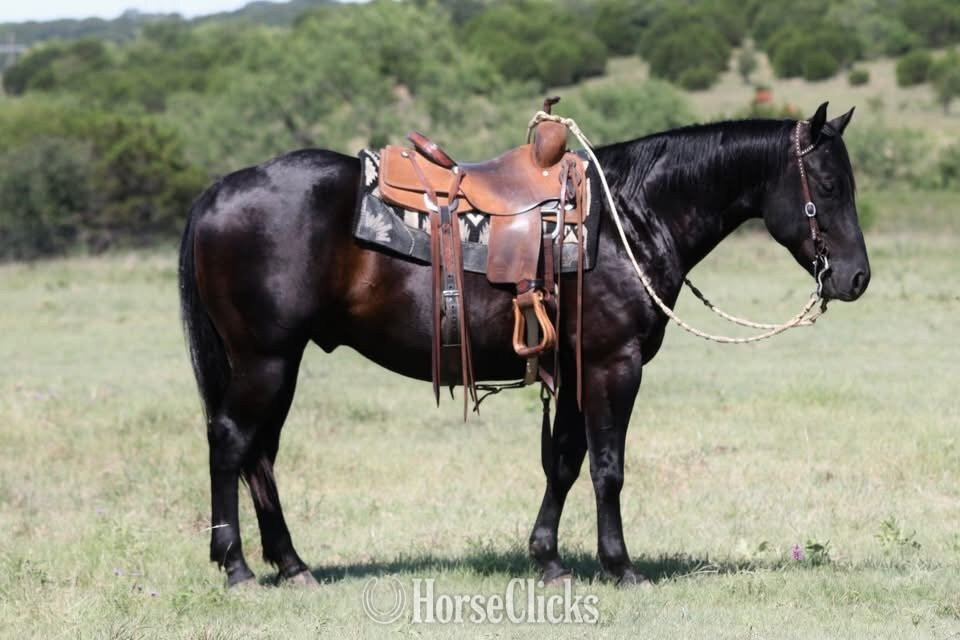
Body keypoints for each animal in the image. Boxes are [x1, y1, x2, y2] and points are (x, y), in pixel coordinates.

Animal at [178, 102, 870, 587]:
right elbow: (608, 466)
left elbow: (563, 461)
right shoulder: (613, 365)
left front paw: (548, 559)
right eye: (830, 186)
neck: (630, 215)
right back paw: (237, 566)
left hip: (278, 362)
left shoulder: (574, 368)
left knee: (260, 454)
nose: (857, 277)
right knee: (232, 442)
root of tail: (221, 188)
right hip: (266, 360)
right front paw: (620, 565)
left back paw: (292, 564)